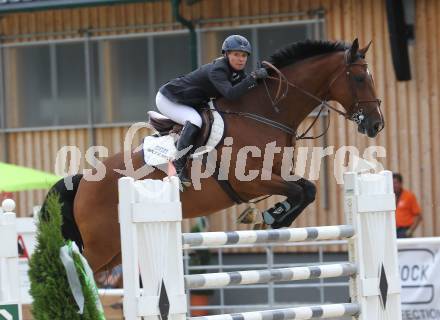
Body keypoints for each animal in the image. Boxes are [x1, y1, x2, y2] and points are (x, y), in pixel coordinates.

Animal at [42, 38, 384, 284]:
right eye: (358, 78)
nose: (375, 124)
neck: (265, 113)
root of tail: (82, 181)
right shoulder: (252, 180)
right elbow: (301, 190)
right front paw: (272, 216)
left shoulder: (278, 174)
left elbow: (307, 190)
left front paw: (274, 216)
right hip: (100, 247)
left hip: (114, 250)